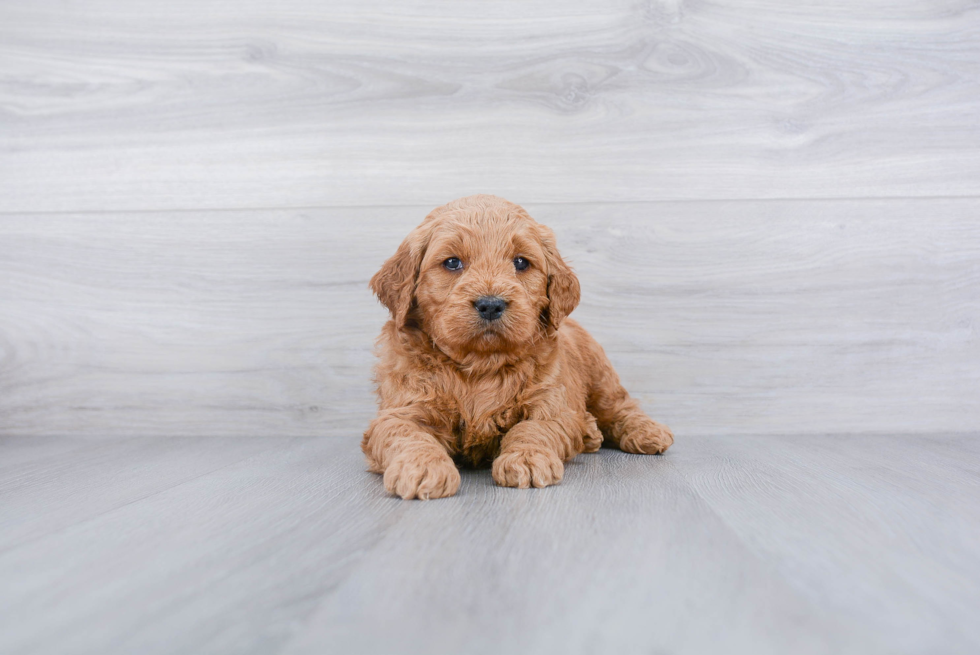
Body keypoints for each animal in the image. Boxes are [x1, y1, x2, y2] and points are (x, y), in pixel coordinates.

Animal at [362, 192, 672, 500]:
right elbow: (407, 434)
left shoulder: (550, 404)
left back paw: (645, 431)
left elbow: (532, 429)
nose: (490, 304)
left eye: (521, 262)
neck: (481, 366)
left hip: (600, 377)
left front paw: (527, 458)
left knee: (620, 406)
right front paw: (422, 467)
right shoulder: (403, 409)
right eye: (452, 263)